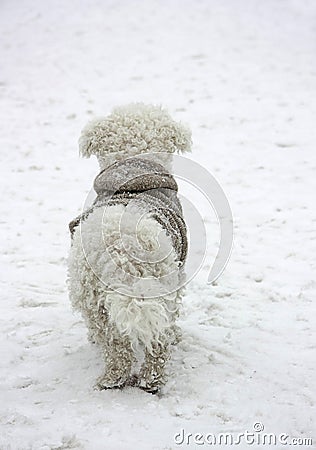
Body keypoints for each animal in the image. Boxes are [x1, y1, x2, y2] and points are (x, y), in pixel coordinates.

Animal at [67, 103, 191, 392]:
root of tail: (121, 248)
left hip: (92, 297)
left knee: (115, 344)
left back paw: (113, 379)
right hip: (160, 283)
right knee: (155, 342)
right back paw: (148, 380)